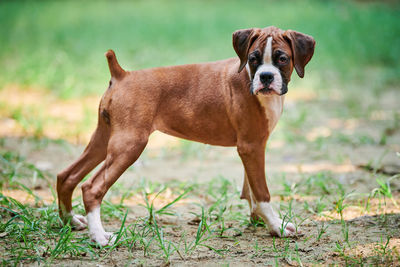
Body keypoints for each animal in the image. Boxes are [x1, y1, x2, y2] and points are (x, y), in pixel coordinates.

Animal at [56, 26, 316, 246]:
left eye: (282, 59)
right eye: (253, 59)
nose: (266, 77)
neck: (248, 77)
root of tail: (122, 74)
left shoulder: (251, 148)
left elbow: (250, 187)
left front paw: (260, 220)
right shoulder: (252, 146)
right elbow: (262, 192)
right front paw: (276, 227)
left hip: (104, 140)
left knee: (67, 175)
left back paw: (72, 221)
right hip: (128, 146)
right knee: (92, 187)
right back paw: (100, 237)